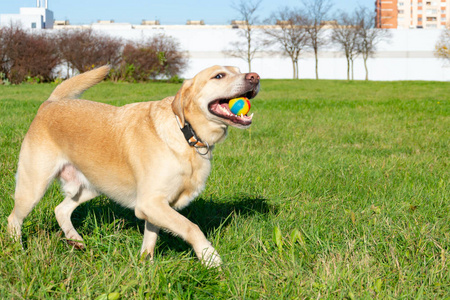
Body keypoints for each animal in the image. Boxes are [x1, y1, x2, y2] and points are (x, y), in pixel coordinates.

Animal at [7, 65, 260, 268]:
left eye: (238, 69)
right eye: (219, 75)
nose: (255, 76)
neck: (185, 132)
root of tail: (50, 103)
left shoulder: (156, 207)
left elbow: (150, 239)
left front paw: (145, 266)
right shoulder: (150, 203)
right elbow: (191, 227)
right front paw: (210, 257)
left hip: (91, 187)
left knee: (61, 209)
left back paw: (75, 240)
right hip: (33, 187)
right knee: (13, 219)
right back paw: (17, 250)